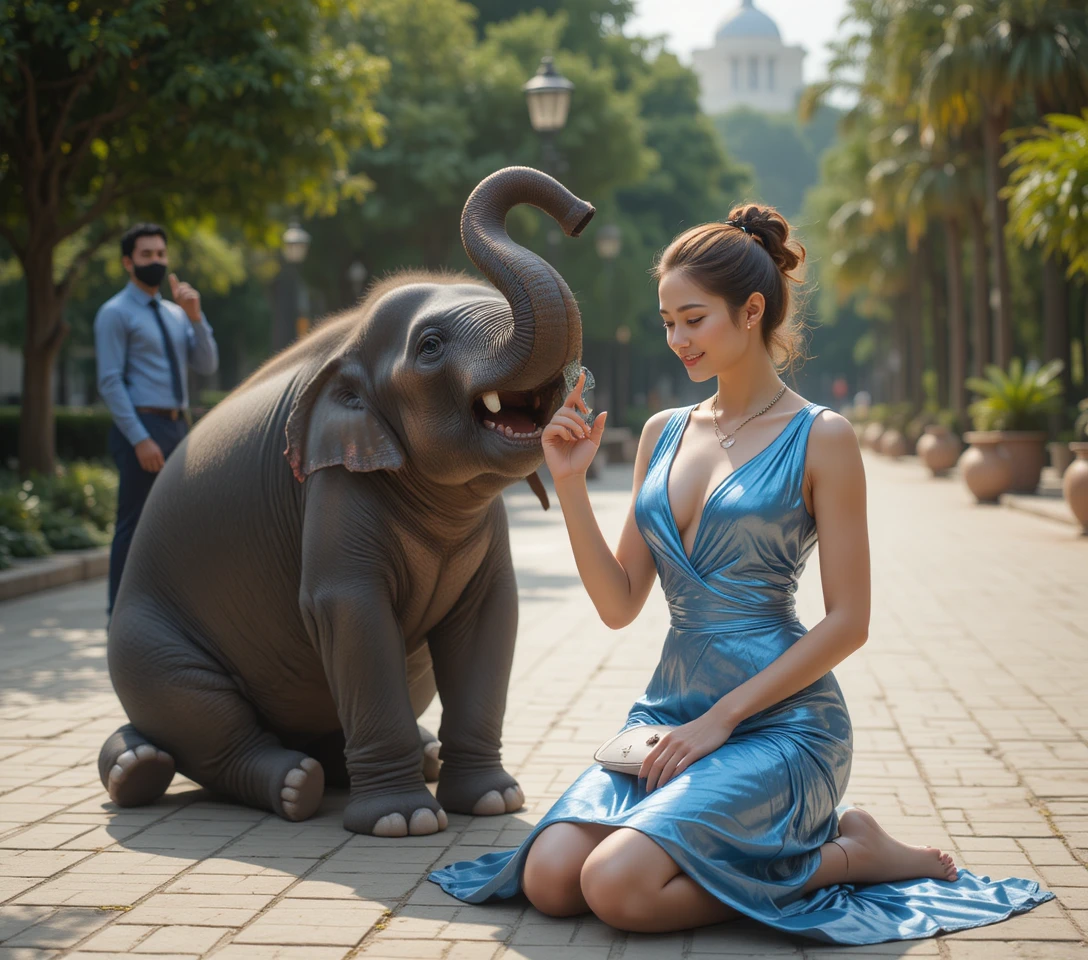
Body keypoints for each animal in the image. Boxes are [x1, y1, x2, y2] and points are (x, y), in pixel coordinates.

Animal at [98, 167, 595, 837]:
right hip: (147, 645)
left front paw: (493, 800)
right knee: (204, 720)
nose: (582, 214)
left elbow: (490, 614)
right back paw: (273, 783)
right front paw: (403, 822)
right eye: (431, 346)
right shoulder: (331, 483)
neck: (351, 339)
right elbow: (348, 609)